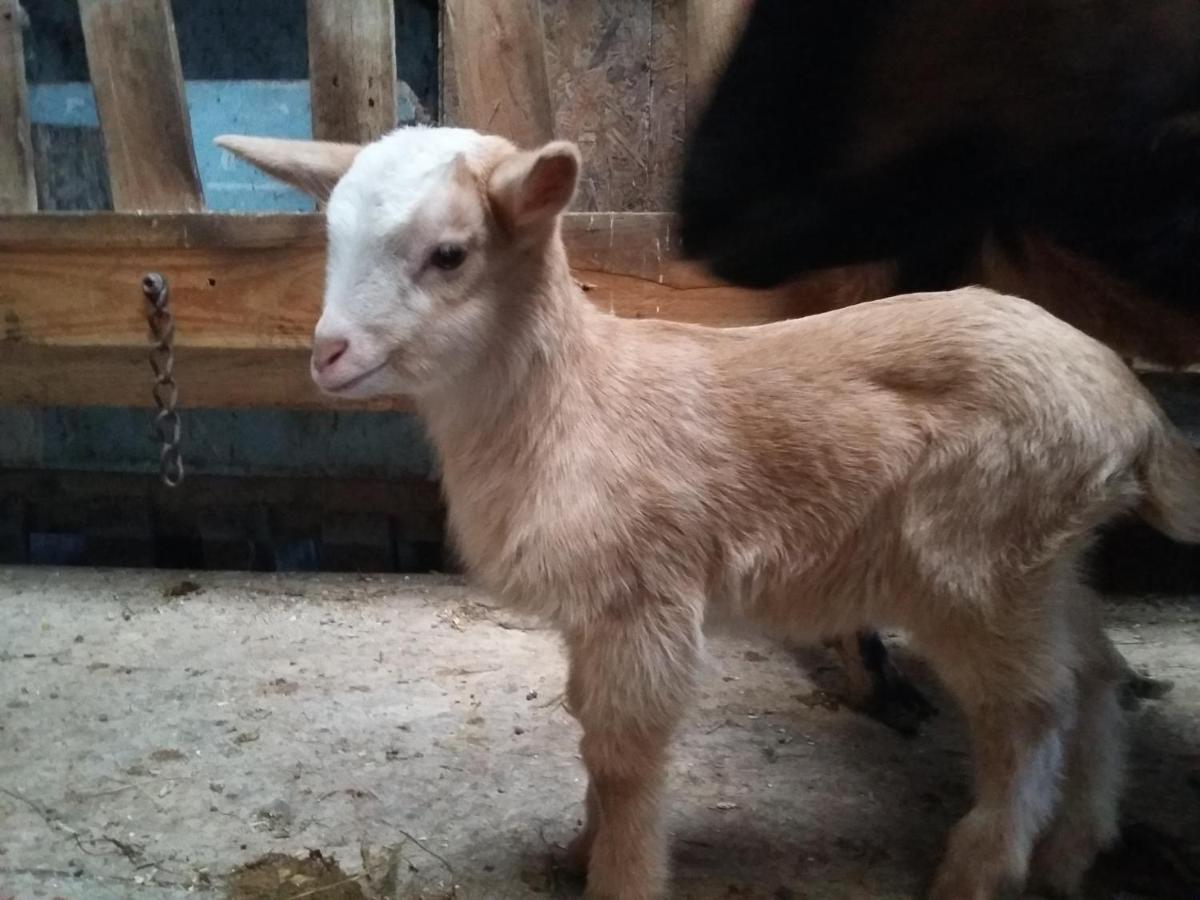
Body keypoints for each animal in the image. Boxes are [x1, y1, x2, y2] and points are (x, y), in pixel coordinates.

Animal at [220, 127, 1200, 900]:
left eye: (451, 253)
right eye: (331, 235)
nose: (329, 354)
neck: (570, 404)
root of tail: (1131, 409)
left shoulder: (644, 600)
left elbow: (625, 760)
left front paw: (618, 878)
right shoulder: (594, 617)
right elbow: (590, 739)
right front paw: (577, 850)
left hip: (976, 563)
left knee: (1031, 714)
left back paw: (979, 872)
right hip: (1047, 558)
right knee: (1096, 677)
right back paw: (1073, 854)